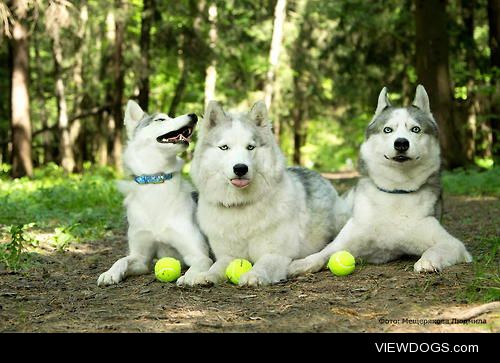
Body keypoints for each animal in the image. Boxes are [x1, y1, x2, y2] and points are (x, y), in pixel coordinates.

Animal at [98, 101, 213, 288]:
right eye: (160, 119)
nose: (194, 115)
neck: (156, 180)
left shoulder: (198, 254)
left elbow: (199, 263)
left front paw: (189, 277)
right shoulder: (141, 259)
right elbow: (122, 259)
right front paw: (110, 273)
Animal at [187, 100, 348, 288]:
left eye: (250, 147)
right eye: (224, 148)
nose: (240, 168)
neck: (241, 206)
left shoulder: (276, 255)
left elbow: (263, 264)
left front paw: (253, 275)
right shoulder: (228, 256)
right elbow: (216, 267)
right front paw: (205, 276)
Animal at [290, 84, 472, 276]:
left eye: (415, 129)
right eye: (387, 129)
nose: (401, 143)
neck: (397, 191)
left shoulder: (452, 244)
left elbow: (437, 248)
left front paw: (427, 261)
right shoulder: (348, 240)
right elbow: (324, 253)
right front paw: (301, 263)